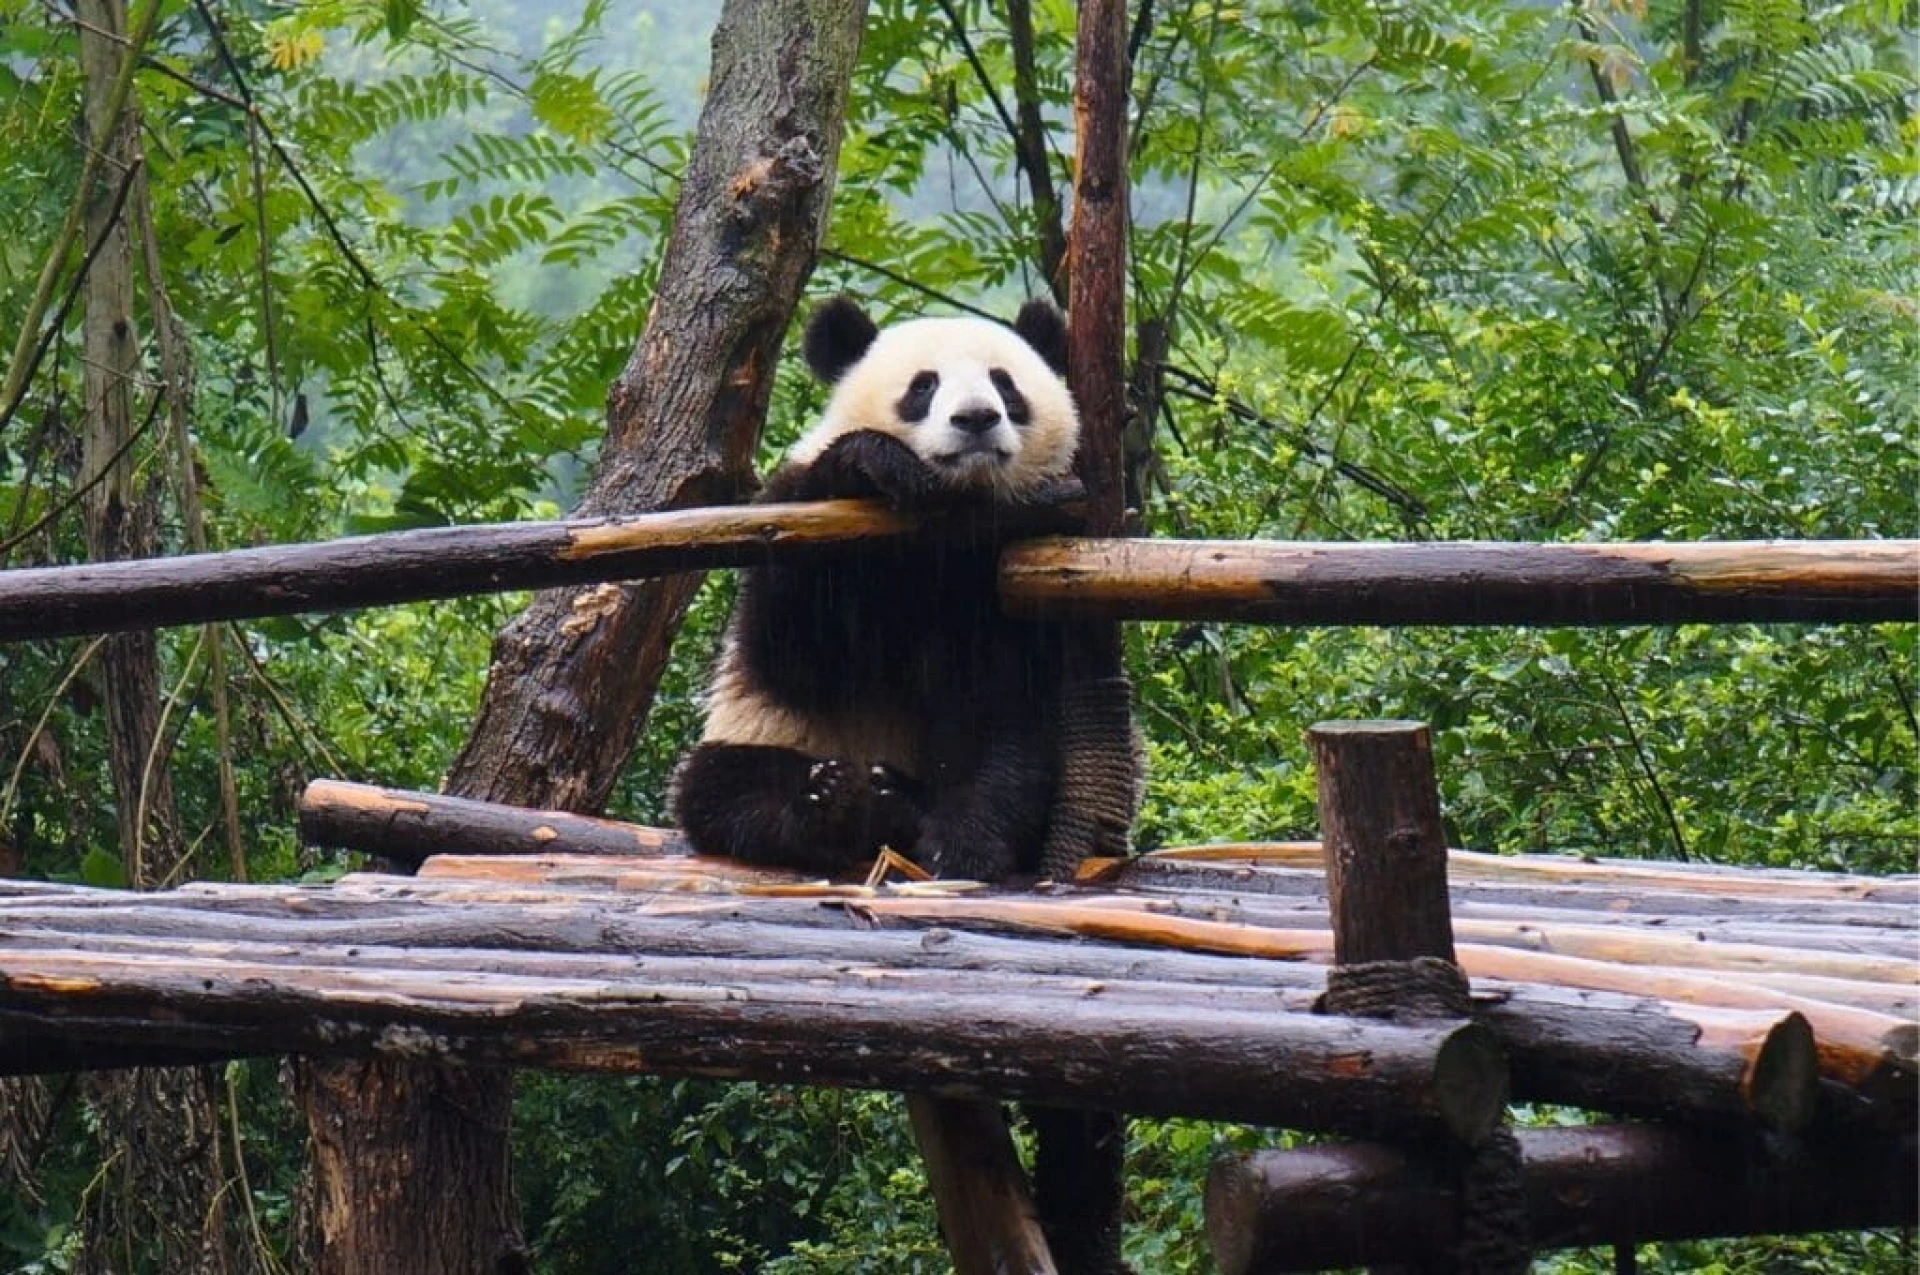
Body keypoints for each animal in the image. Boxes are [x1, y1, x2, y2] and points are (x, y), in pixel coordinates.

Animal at [669, 295, 1080, 882]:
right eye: (923, 386)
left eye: (1005, 384)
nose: (976, 418)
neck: (950, 511)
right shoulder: (799, 514)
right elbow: (795, 656)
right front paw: (873, 463)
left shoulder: (1021, 562)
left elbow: (1004, 721)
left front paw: (963, 845)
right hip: (763, 732)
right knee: (723, 786)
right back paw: (831, 805)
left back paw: (896, 803)